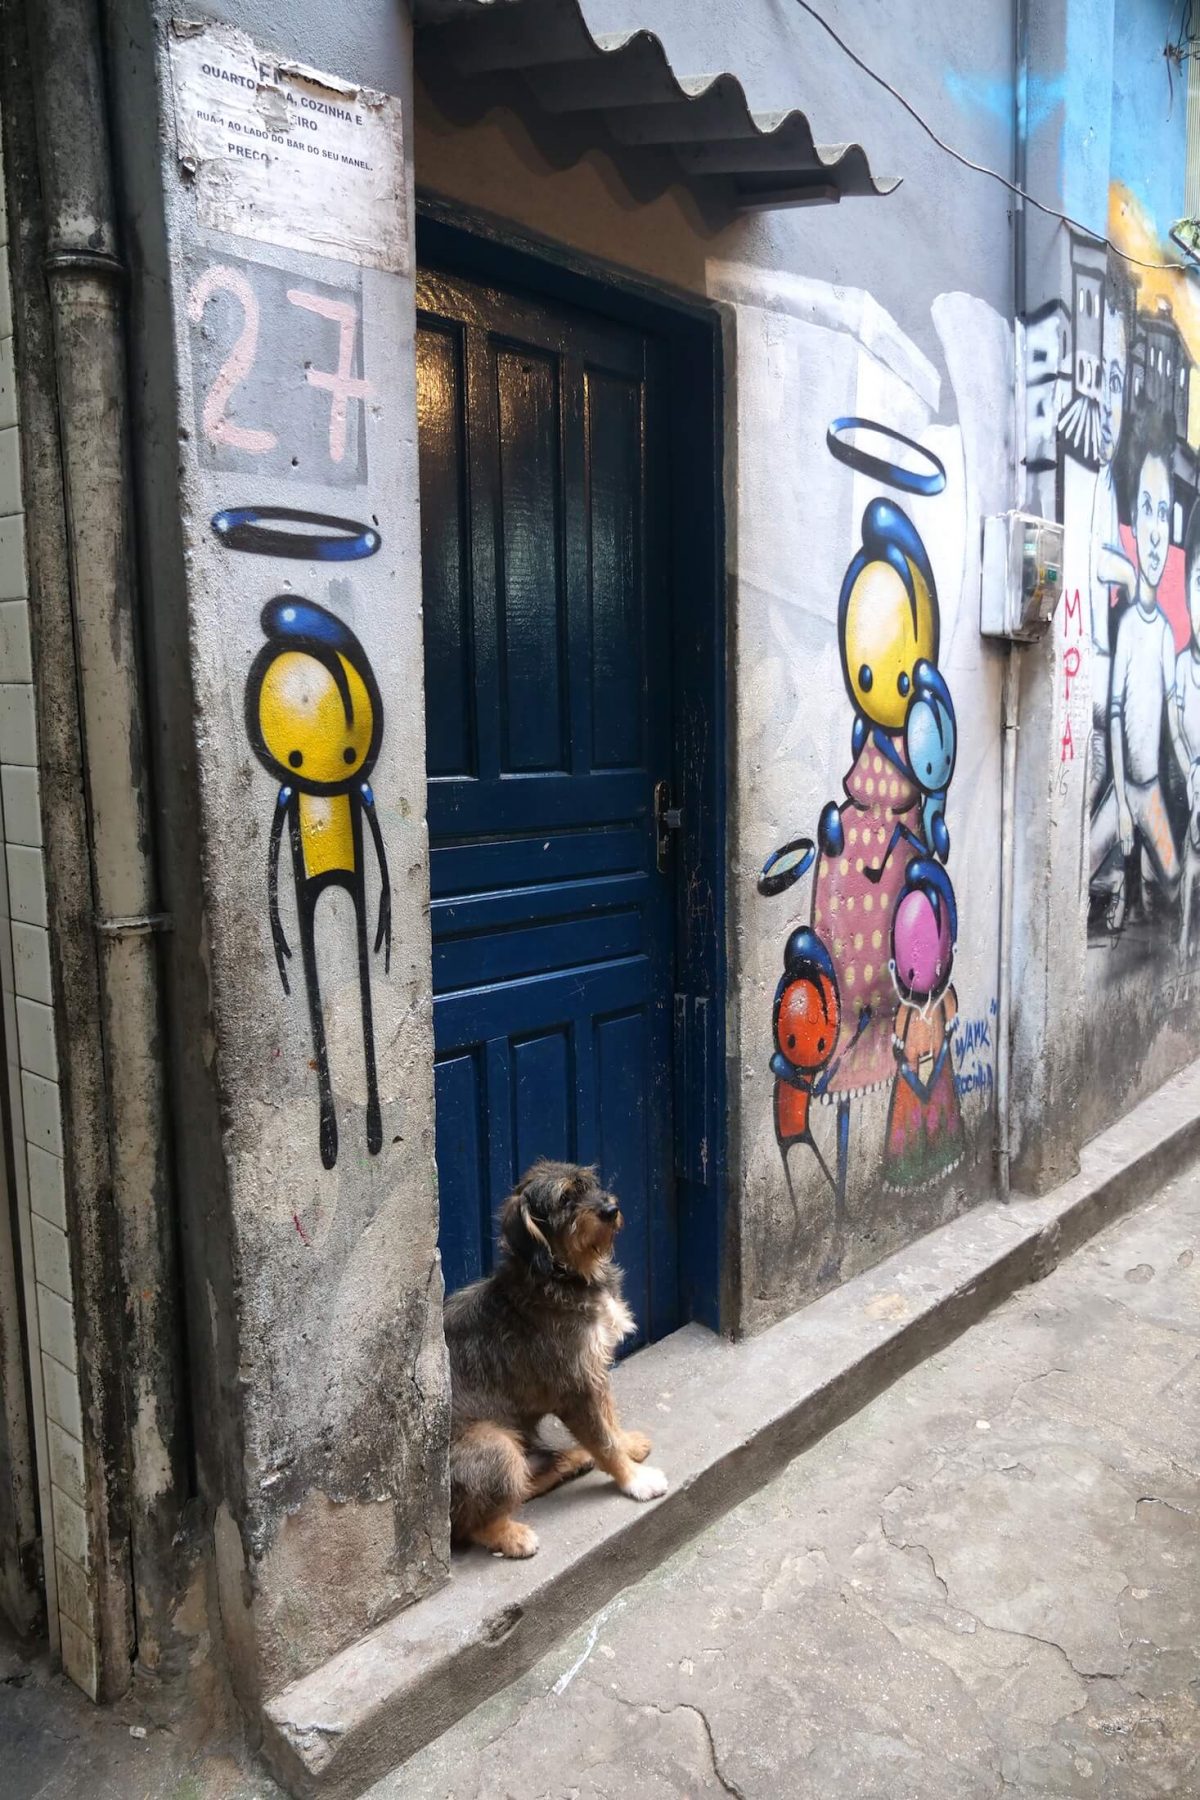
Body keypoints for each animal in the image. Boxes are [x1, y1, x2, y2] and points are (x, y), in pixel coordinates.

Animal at [446, 1159, 672, 1555]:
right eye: (565, 1199)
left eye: (590, 1185)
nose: (610, 1209)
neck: (564, 1275)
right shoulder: (576, 1387)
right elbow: (603, 1440)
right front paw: (634, 1479)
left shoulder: (595, 1369)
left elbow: (610, 1421)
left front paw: (628, 1445)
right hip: (496, 1444)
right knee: (473, 1525)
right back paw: (512, 1534)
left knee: (522, 1482)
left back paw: (571, 1460)